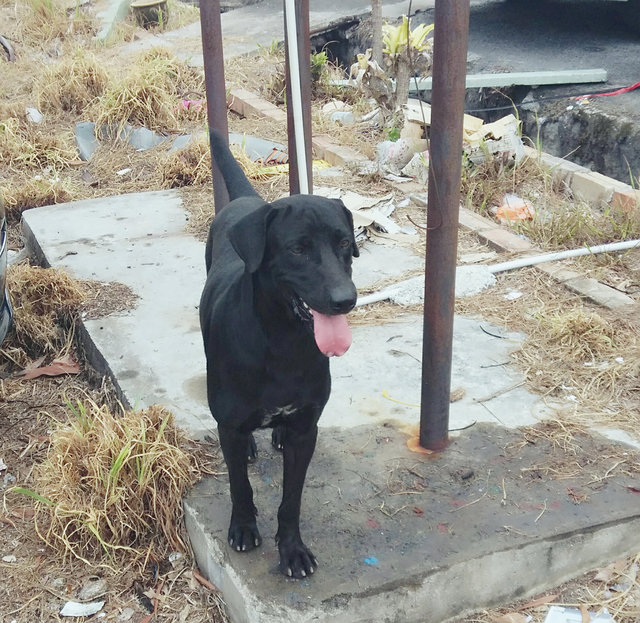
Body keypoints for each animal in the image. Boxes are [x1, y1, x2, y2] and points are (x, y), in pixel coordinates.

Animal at [200, 130, 358, 580]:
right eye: (298, 249)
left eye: (344, 243)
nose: (346, 300)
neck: (285, 341)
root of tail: (249, 201)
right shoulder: (231, 425)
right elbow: (239, 484)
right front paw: (243, 527)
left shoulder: (308, 429)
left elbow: (292, 500)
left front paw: (292, 551)